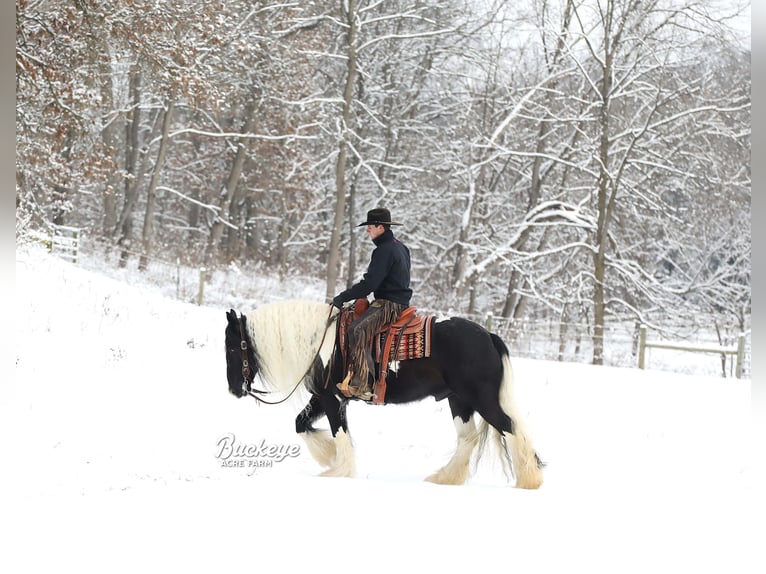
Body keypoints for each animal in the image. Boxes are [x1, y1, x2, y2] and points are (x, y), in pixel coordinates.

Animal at [225, 302, 544, 490]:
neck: (321, 343)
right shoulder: (323, 398)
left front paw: (337, 471)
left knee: (510, 428)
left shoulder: (332, 399)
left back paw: (529, 481)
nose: (233, 389)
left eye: (231, 347)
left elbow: (339, 433)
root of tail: (489, 335)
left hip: (482, 399)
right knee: (468, 438)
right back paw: (445, 478)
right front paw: (329, 459)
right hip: (459, 400)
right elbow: (300, 424)